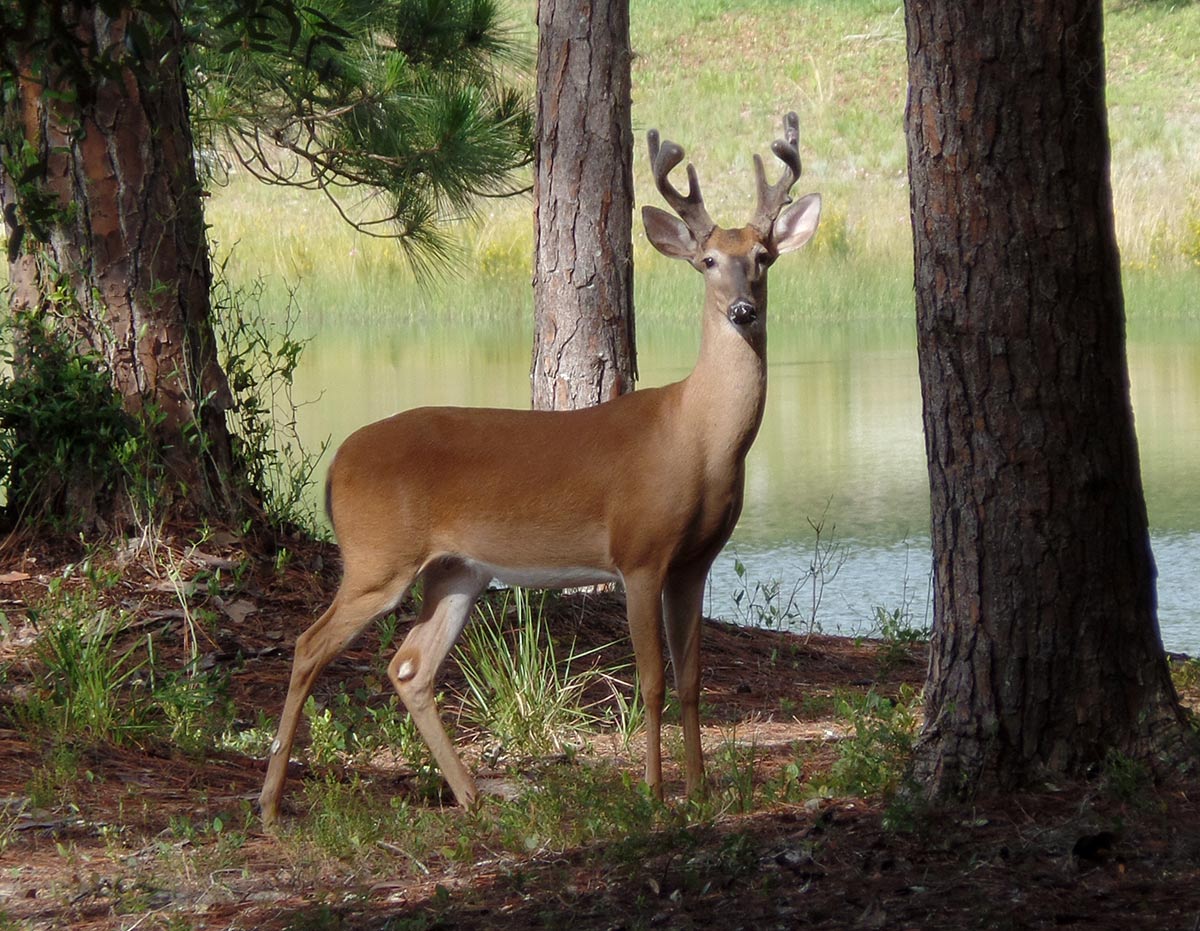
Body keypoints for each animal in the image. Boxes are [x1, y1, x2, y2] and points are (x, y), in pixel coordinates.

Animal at [258, 112, 821, 827]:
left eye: (764, 258)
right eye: (708, 261)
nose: (742, 310)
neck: (697, 439)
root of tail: (336, 468)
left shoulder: (695, 560)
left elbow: (693, 678)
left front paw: (699, 791)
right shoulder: (639, 552)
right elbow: (652, 678)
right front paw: (653, 792)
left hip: (457, 571)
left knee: (409, 666)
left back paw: (472, 796)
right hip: (377, 556)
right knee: (309, 645)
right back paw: (270, 802)